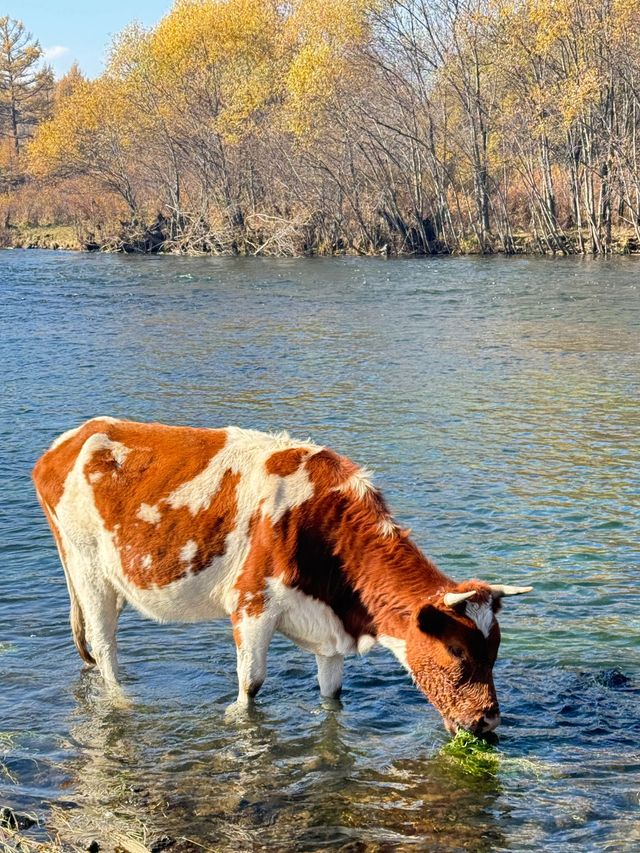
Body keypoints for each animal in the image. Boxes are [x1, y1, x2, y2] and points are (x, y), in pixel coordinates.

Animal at [32, 418, 528, 732]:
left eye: (495, 651)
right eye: (457, 651)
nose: (489, 719)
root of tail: (69, 440)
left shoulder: (328, 628)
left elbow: (332, 696)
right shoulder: (251, 604)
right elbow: (250, 688)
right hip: (89, 571)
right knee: (105, 649)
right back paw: (123, 700)